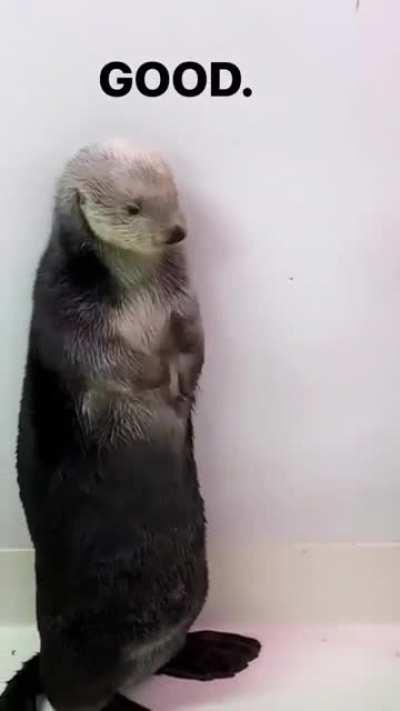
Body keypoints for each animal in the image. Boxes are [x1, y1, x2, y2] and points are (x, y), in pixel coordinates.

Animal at [2, 140, 260, 711]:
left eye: (173, 195)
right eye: (133, 208)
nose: (176, 232)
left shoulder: (184, 299)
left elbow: (192, 340)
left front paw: (181, 385)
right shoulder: (63, 305)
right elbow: (108, 359)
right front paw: (158, 383)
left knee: (164, 655)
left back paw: (217, 652)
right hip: (79, 645)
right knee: (76, 698)